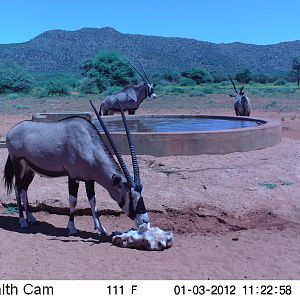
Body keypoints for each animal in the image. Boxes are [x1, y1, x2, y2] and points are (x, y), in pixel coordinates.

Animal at [3, 101, 149, 237]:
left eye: (141, 194)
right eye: (130, 197)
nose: (145, 221)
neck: (88, 145)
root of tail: (11, 132)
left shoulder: (89, 179)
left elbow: (93, 200)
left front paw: (100, 229)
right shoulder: (73, 177)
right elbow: (73, 201)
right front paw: (72, 228)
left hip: (30, 170)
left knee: (24, 189)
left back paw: (31, 218)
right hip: (18, 165)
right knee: (18, 188)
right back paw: (22, 221)